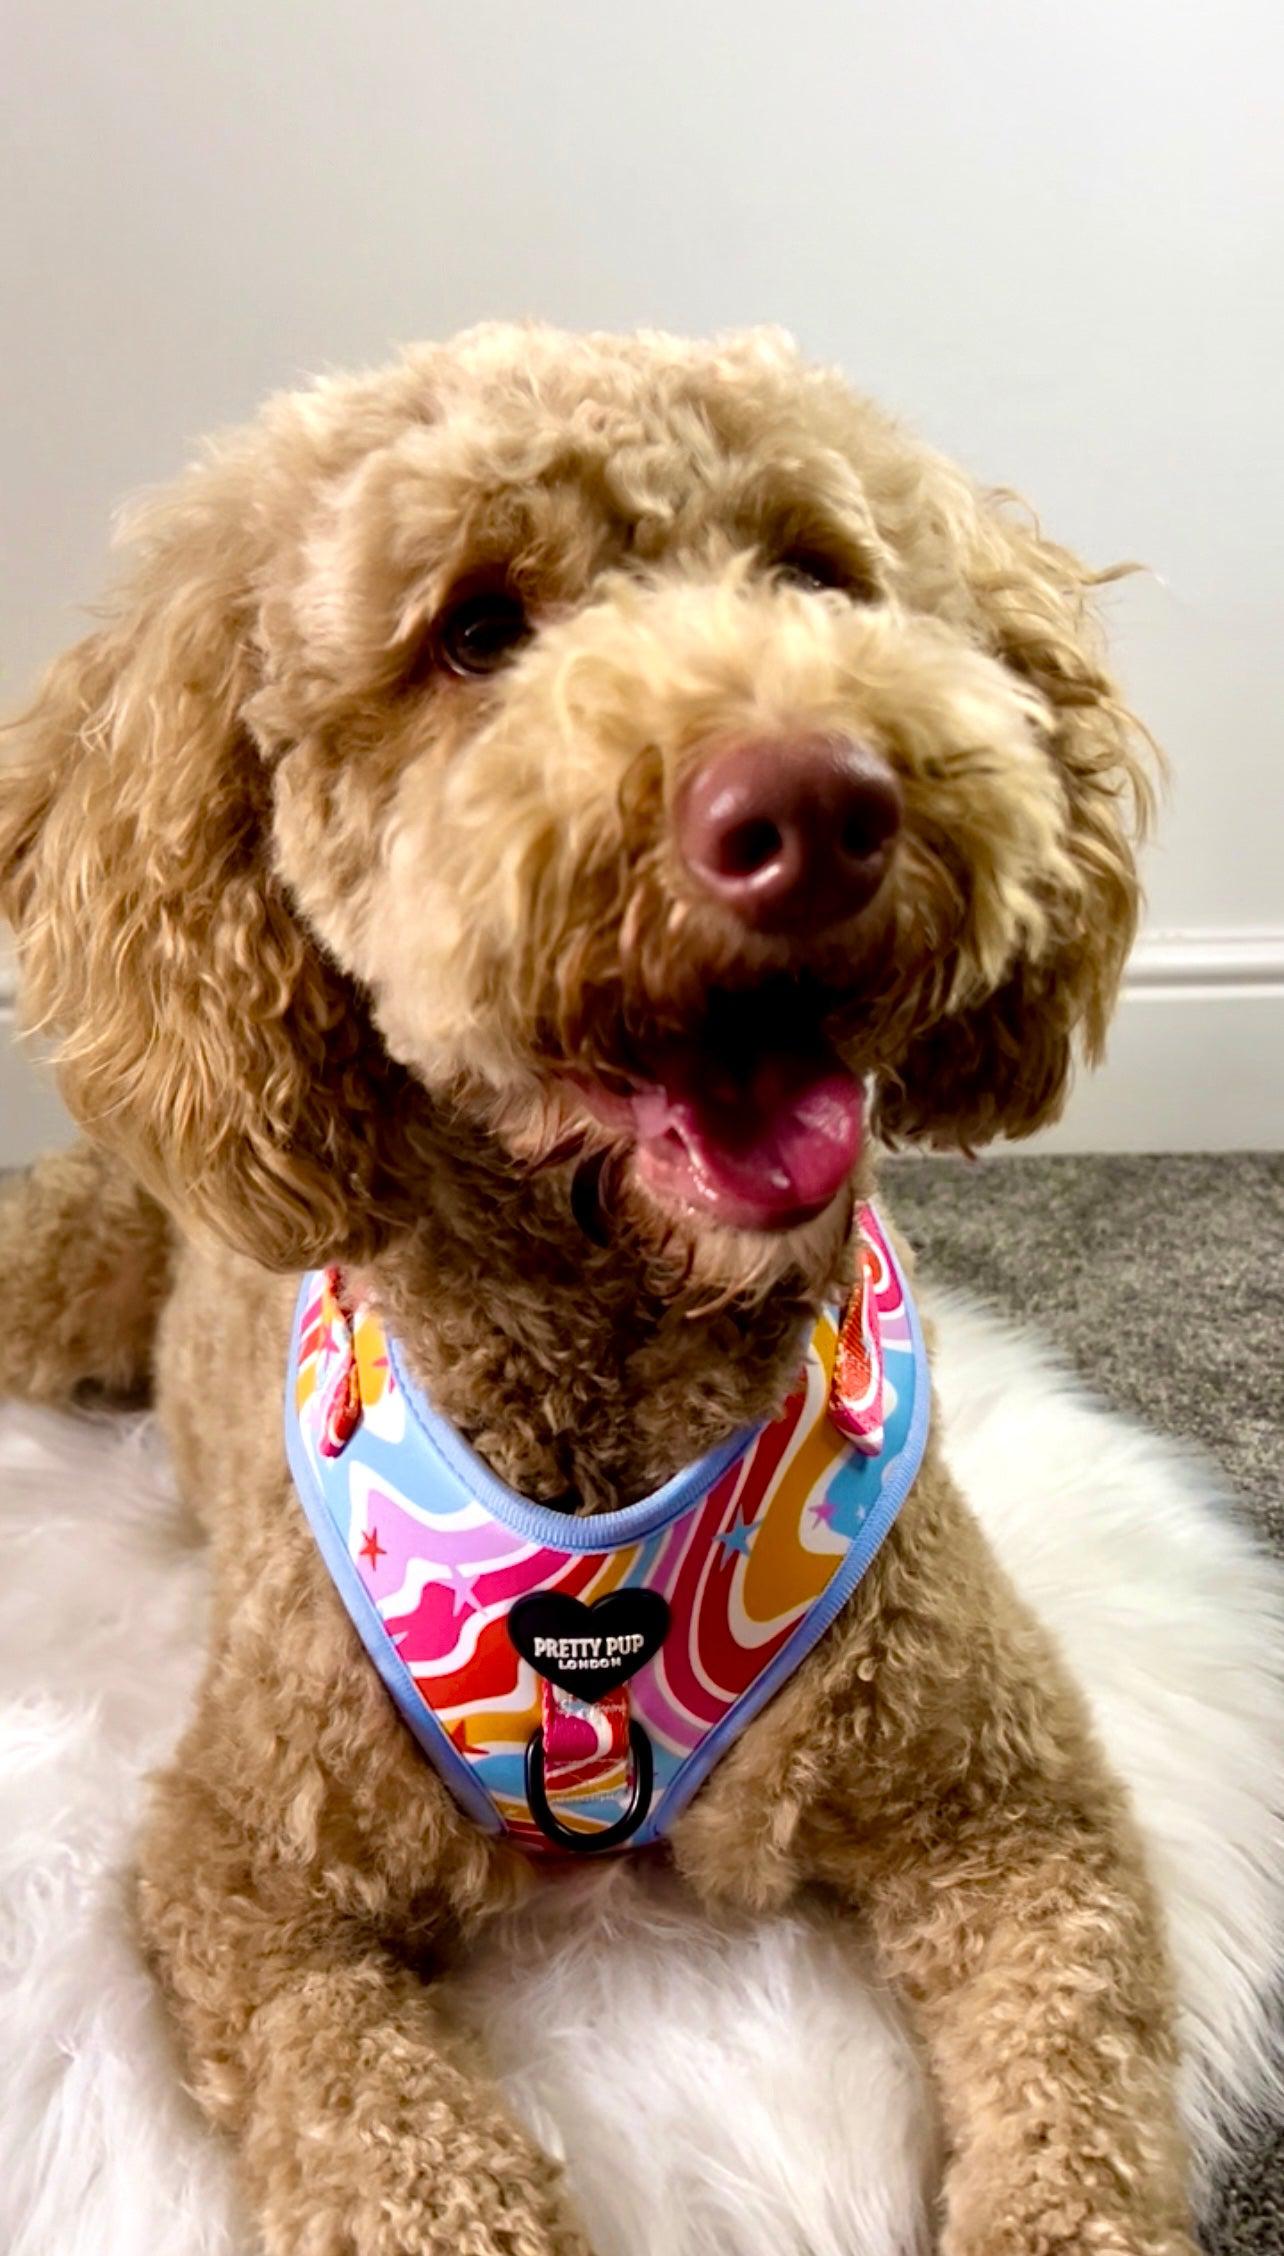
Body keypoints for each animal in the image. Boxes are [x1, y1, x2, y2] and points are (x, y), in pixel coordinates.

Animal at [0, 322, 1191, 2256]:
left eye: (813, 571)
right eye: (476, 629)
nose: (811, 804)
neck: (614, 1362)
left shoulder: (1005, 1799)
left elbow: (1072, 2108)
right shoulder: (251, 1877)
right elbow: (391, 2130)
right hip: (71, 1274)